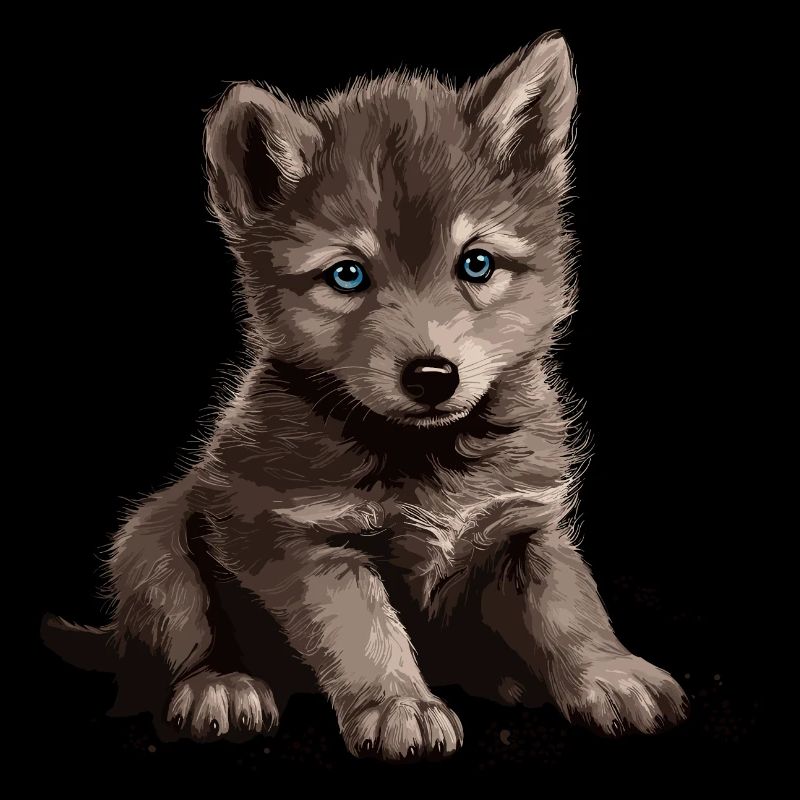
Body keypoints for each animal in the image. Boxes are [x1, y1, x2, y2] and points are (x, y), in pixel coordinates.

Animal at [42, 32, 687, 761]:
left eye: (477, 263)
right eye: (347, 275)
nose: (432, 376)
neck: (429, 455)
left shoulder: (528, 526)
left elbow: (570, 606)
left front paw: (611, 674)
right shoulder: (306, 540)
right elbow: (366, 634)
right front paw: (398, 704)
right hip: (153, 545)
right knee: (173, 649)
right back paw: (222, 686)